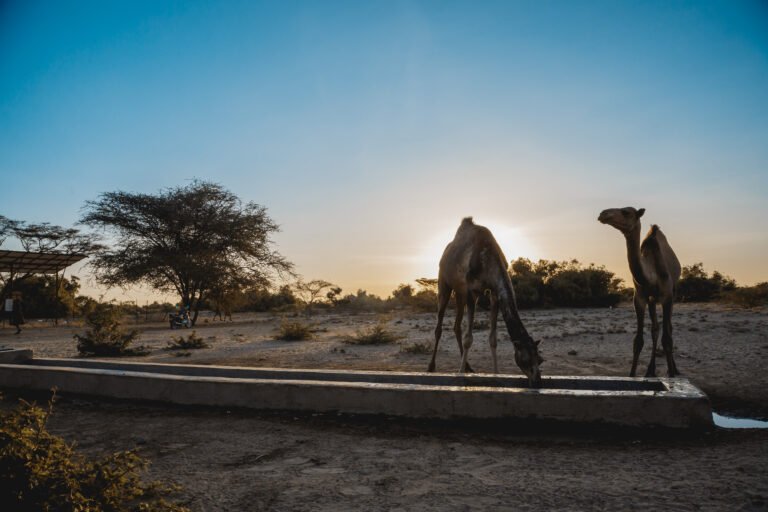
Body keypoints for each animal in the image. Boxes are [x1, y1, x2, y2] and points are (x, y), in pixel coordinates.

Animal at [427, 217, 543, 387]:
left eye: (540, 360)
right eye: (525, 360)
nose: (537, 382)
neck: (487, 258)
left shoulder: (494, 293)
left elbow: (493, 339)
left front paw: (496, 374)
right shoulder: (471, 292)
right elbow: (468, 339)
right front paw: (460, 374)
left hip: (459, 293)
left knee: (456, 326)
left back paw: (468, 367)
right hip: (444, 283)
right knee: (439, 325)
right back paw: (431, 366)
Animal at [598, 207, 681, 377]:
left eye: (626, 212)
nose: (603, 214)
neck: (651, 274)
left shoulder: (667, 296)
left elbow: (667, 339)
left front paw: (671, 373)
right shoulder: (640, 297)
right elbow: (638, 341)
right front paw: (632, 374)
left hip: (673, 293)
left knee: (668, 328)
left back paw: (674, 368)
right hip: (652, 300)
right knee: (655, 328)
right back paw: (650, 370)